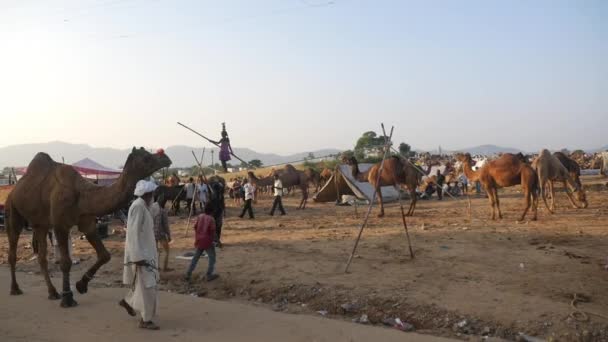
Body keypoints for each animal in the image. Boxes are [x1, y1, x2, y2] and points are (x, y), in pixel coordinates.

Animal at [6, 147, 171, 308]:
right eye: (146, 157)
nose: (166, 158)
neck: (82, 195)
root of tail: (13, 190)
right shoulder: (60, 225)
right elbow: (66, 263)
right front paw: (67, 298)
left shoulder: (87, 223)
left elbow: (105, 255)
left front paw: (81, 285)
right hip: (12, 210)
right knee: (13, 248)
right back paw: (15, 289)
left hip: (40, 224)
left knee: (41, 256)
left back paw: (52, 292)